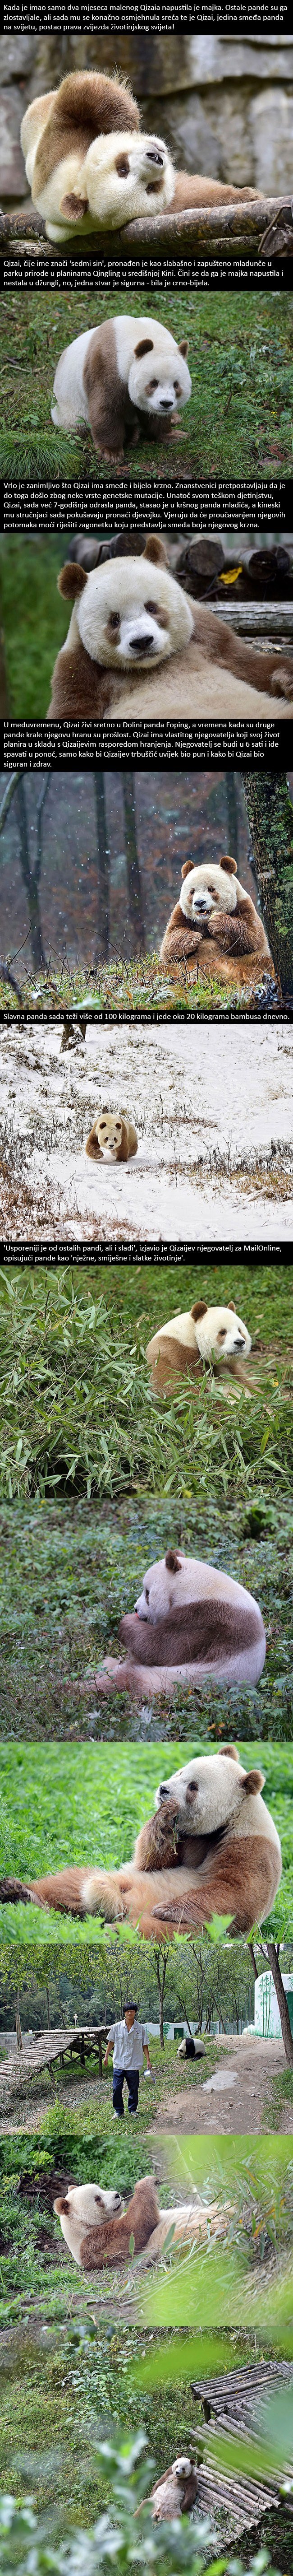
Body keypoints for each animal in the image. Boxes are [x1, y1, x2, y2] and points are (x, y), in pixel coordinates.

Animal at [2, 1749, 281, 1941]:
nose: (164, 1790)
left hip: (196, 1930)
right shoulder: (188, 1839)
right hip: (120, 1879)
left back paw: (114, 1931)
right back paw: (21, 1894)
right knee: (69, 1883)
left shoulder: (252, 1848)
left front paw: (168, 1908)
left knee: (161, 1932)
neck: (225, 1822)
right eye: (181, 1772)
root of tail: (123, 1907)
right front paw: (164, 1817)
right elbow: (152, 1863)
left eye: (193, 1787)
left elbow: (235, 1893)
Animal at [48, 537, 293, 721]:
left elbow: (250, 665)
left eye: (151, 608)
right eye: (114, 621)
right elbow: (73, 708)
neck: (153, 665)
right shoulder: (79, 668)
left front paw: (287, 681)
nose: (142, 642)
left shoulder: (208, 638)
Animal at [51, 317, 192, 459]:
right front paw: (111, 453)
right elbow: (107, 408)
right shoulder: (107, 365)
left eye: (176, 384)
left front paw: (174, 435)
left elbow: (155, 416)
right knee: (77, 426)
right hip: (70, 409)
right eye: (154, 383)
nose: (166, 403)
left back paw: (173, 418)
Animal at [146, 1296, 253, 1396]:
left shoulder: (230, 1368)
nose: (239, 1342)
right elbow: (179, 1387)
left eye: (240, 1331)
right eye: (223, 1332)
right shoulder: (174, 1353)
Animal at [160, 855, 273, 991]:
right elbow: (169, 944)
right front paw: (193, 938)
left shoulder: (243, 905)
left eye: (211, 889)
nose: (200, 903)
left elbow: (251, 937)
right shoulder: (181, 914)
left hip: (249, 962)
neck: (204, 922)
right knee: (162, 970)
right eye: (192, 892)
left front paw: (218, 923)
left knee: (265, 965)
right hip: (180, 967)